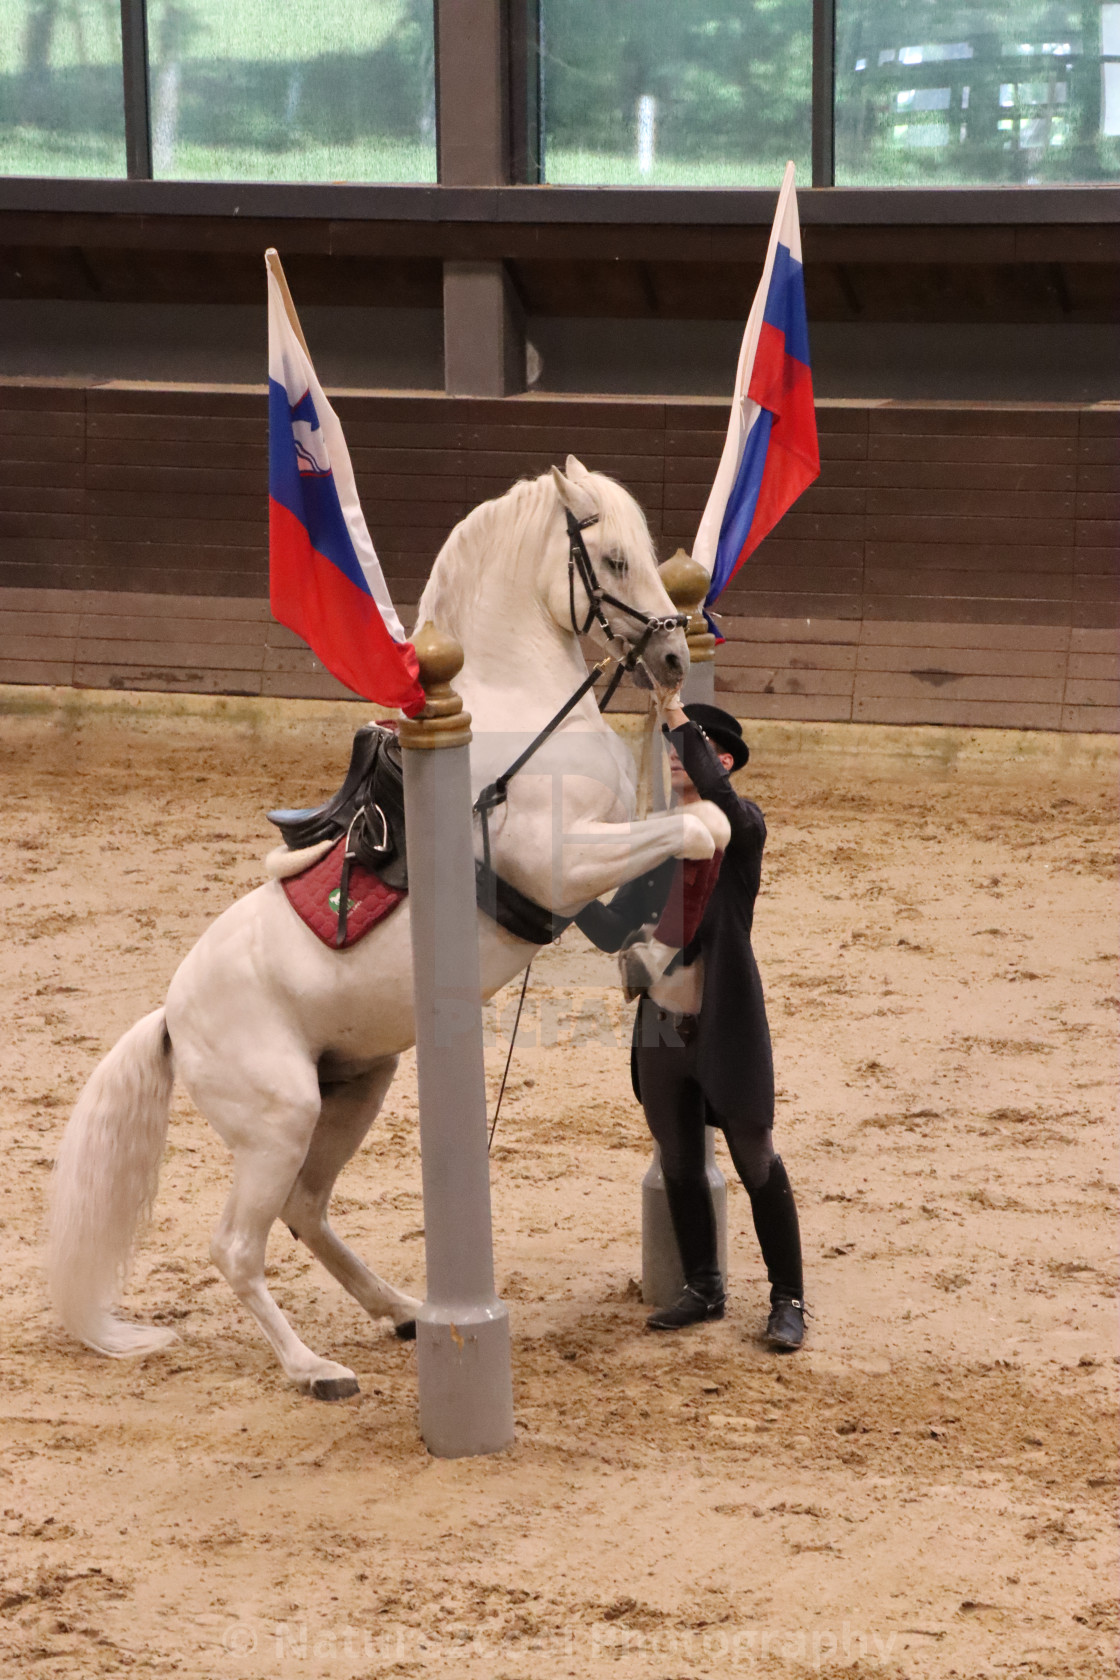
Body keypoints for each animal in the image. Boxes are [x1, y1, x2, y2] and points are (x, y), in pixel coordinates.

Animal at [50, 453, 735, 1397]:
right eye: (615, 560)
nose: (670, 656)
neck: (521, 708)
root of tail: (171, 1018)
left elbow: (682, 839)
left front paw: (647, 958)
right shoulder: (560, 864)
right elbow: (699, 830)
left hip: (355, 1089)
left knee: (306, 1211)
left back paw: (404, 1311)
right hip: (279, 1118)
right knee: (238, 1247)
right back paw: (315, 1367)